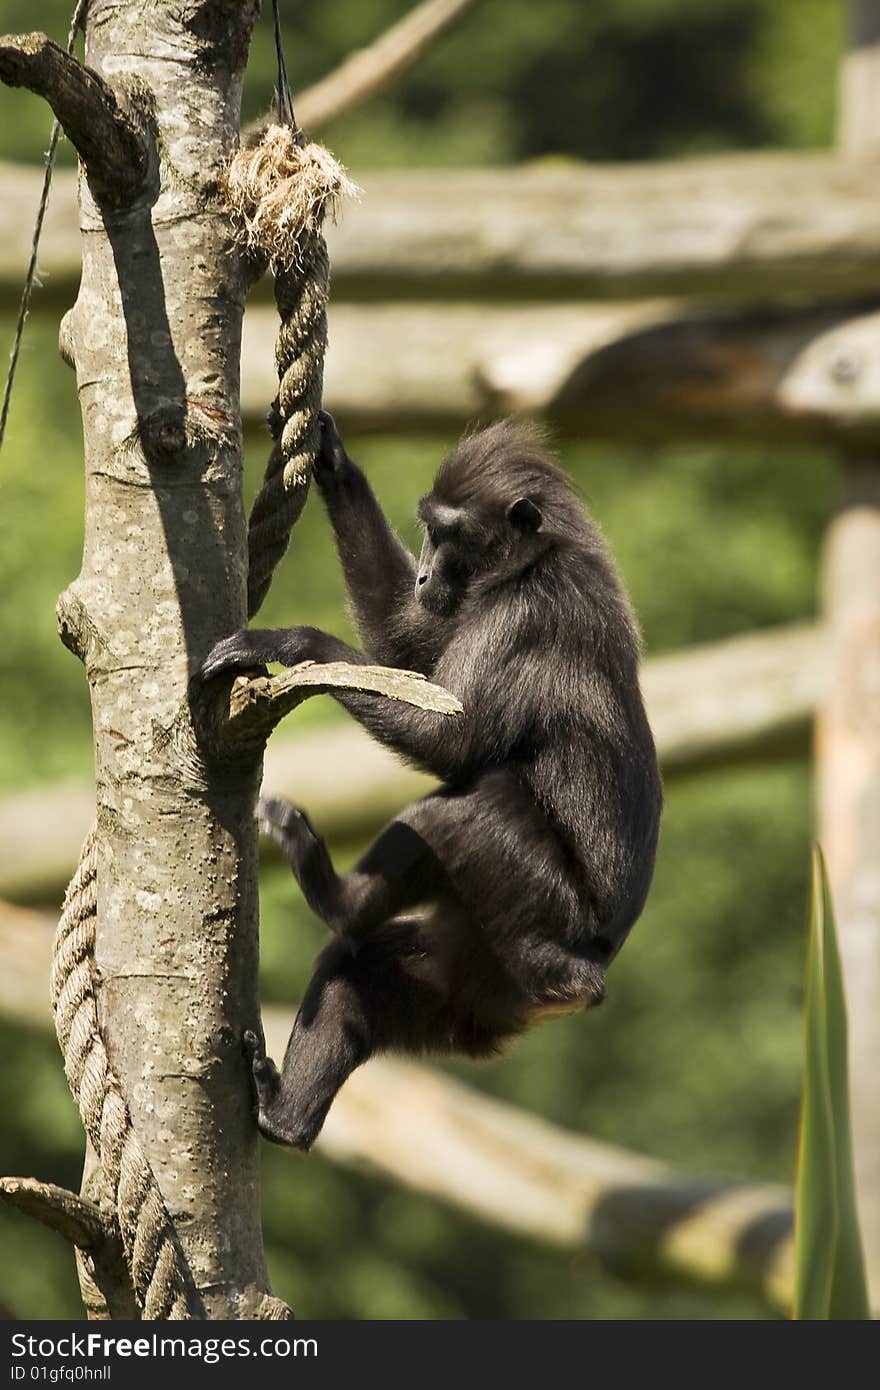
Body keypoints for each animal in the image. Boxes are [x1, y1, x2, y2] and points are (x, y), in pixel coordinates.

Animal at [200, 408, 658, 1150]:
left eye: (448, 533)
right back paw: (287, 1117)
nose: (423, 575)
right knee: (364, 972)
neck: (536, 560)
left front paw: (292, 645)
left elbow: (451, 741)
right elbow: (403, 639)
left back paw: (336, 897)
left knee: (474, 805)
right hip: (477, 983)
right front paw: (330, 458)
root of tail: (579, 982)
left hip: (545, 925)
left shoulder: (524, 617)